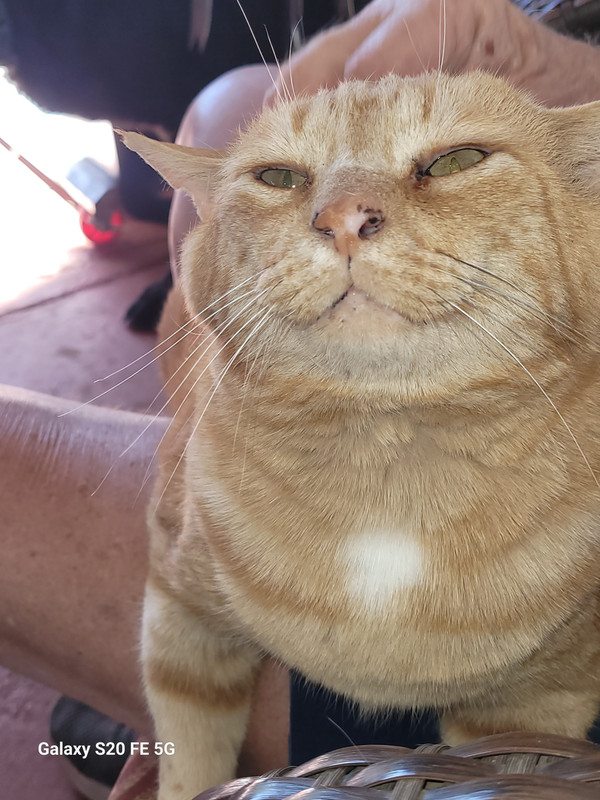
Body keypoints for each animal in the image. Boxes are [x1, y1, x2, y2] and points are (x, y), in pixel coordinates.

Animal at [122, 70, 600, 800]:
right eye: (279, 176)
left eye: (457, 160)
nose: (343, 218)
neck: (386, 470)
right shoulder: (180, 615)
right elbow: (188, 759)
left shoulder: (531, 714)